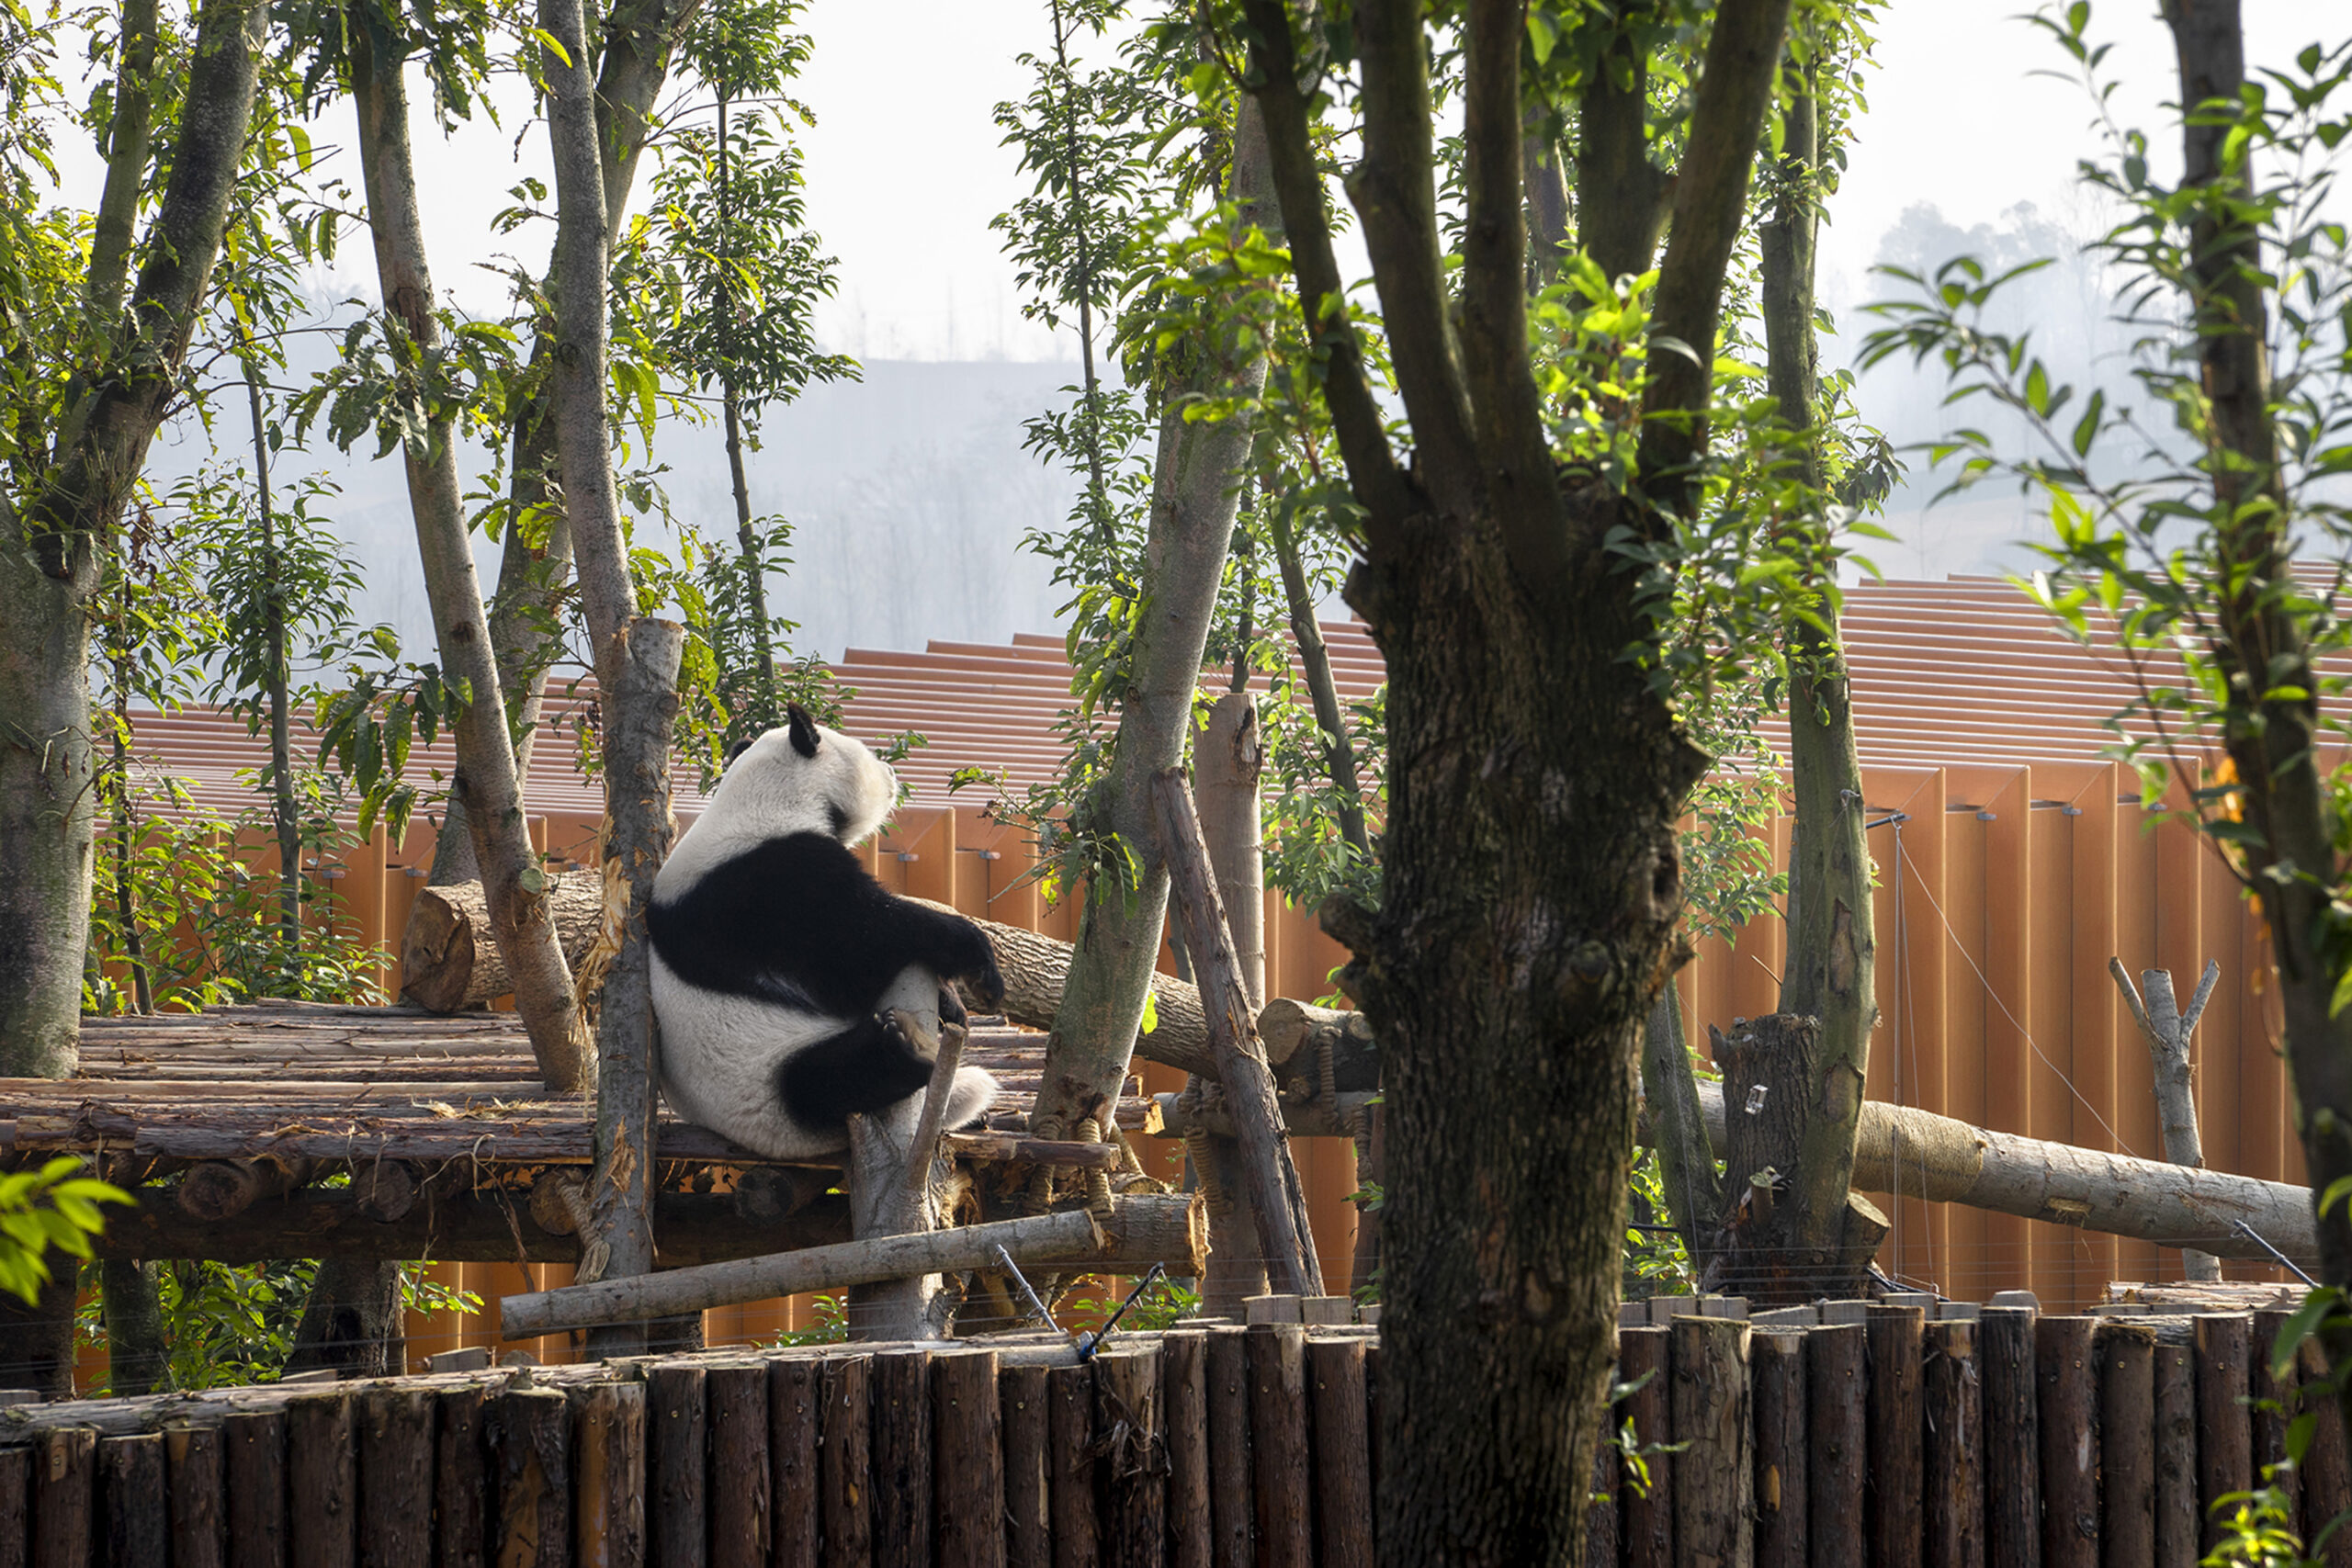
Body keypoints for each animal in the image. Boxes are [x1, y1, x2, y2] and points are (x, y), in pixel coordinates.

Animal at [649, 705, 1006, 1161]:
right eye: (869, 754)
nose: (892, 773)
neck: (765, 798)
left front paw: (952, 1005)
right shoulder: (772, 886)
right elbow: (861, 950)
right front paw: (979, 968)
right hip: (766, 1075)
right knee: (826, 1080)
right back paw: (905, 1048)